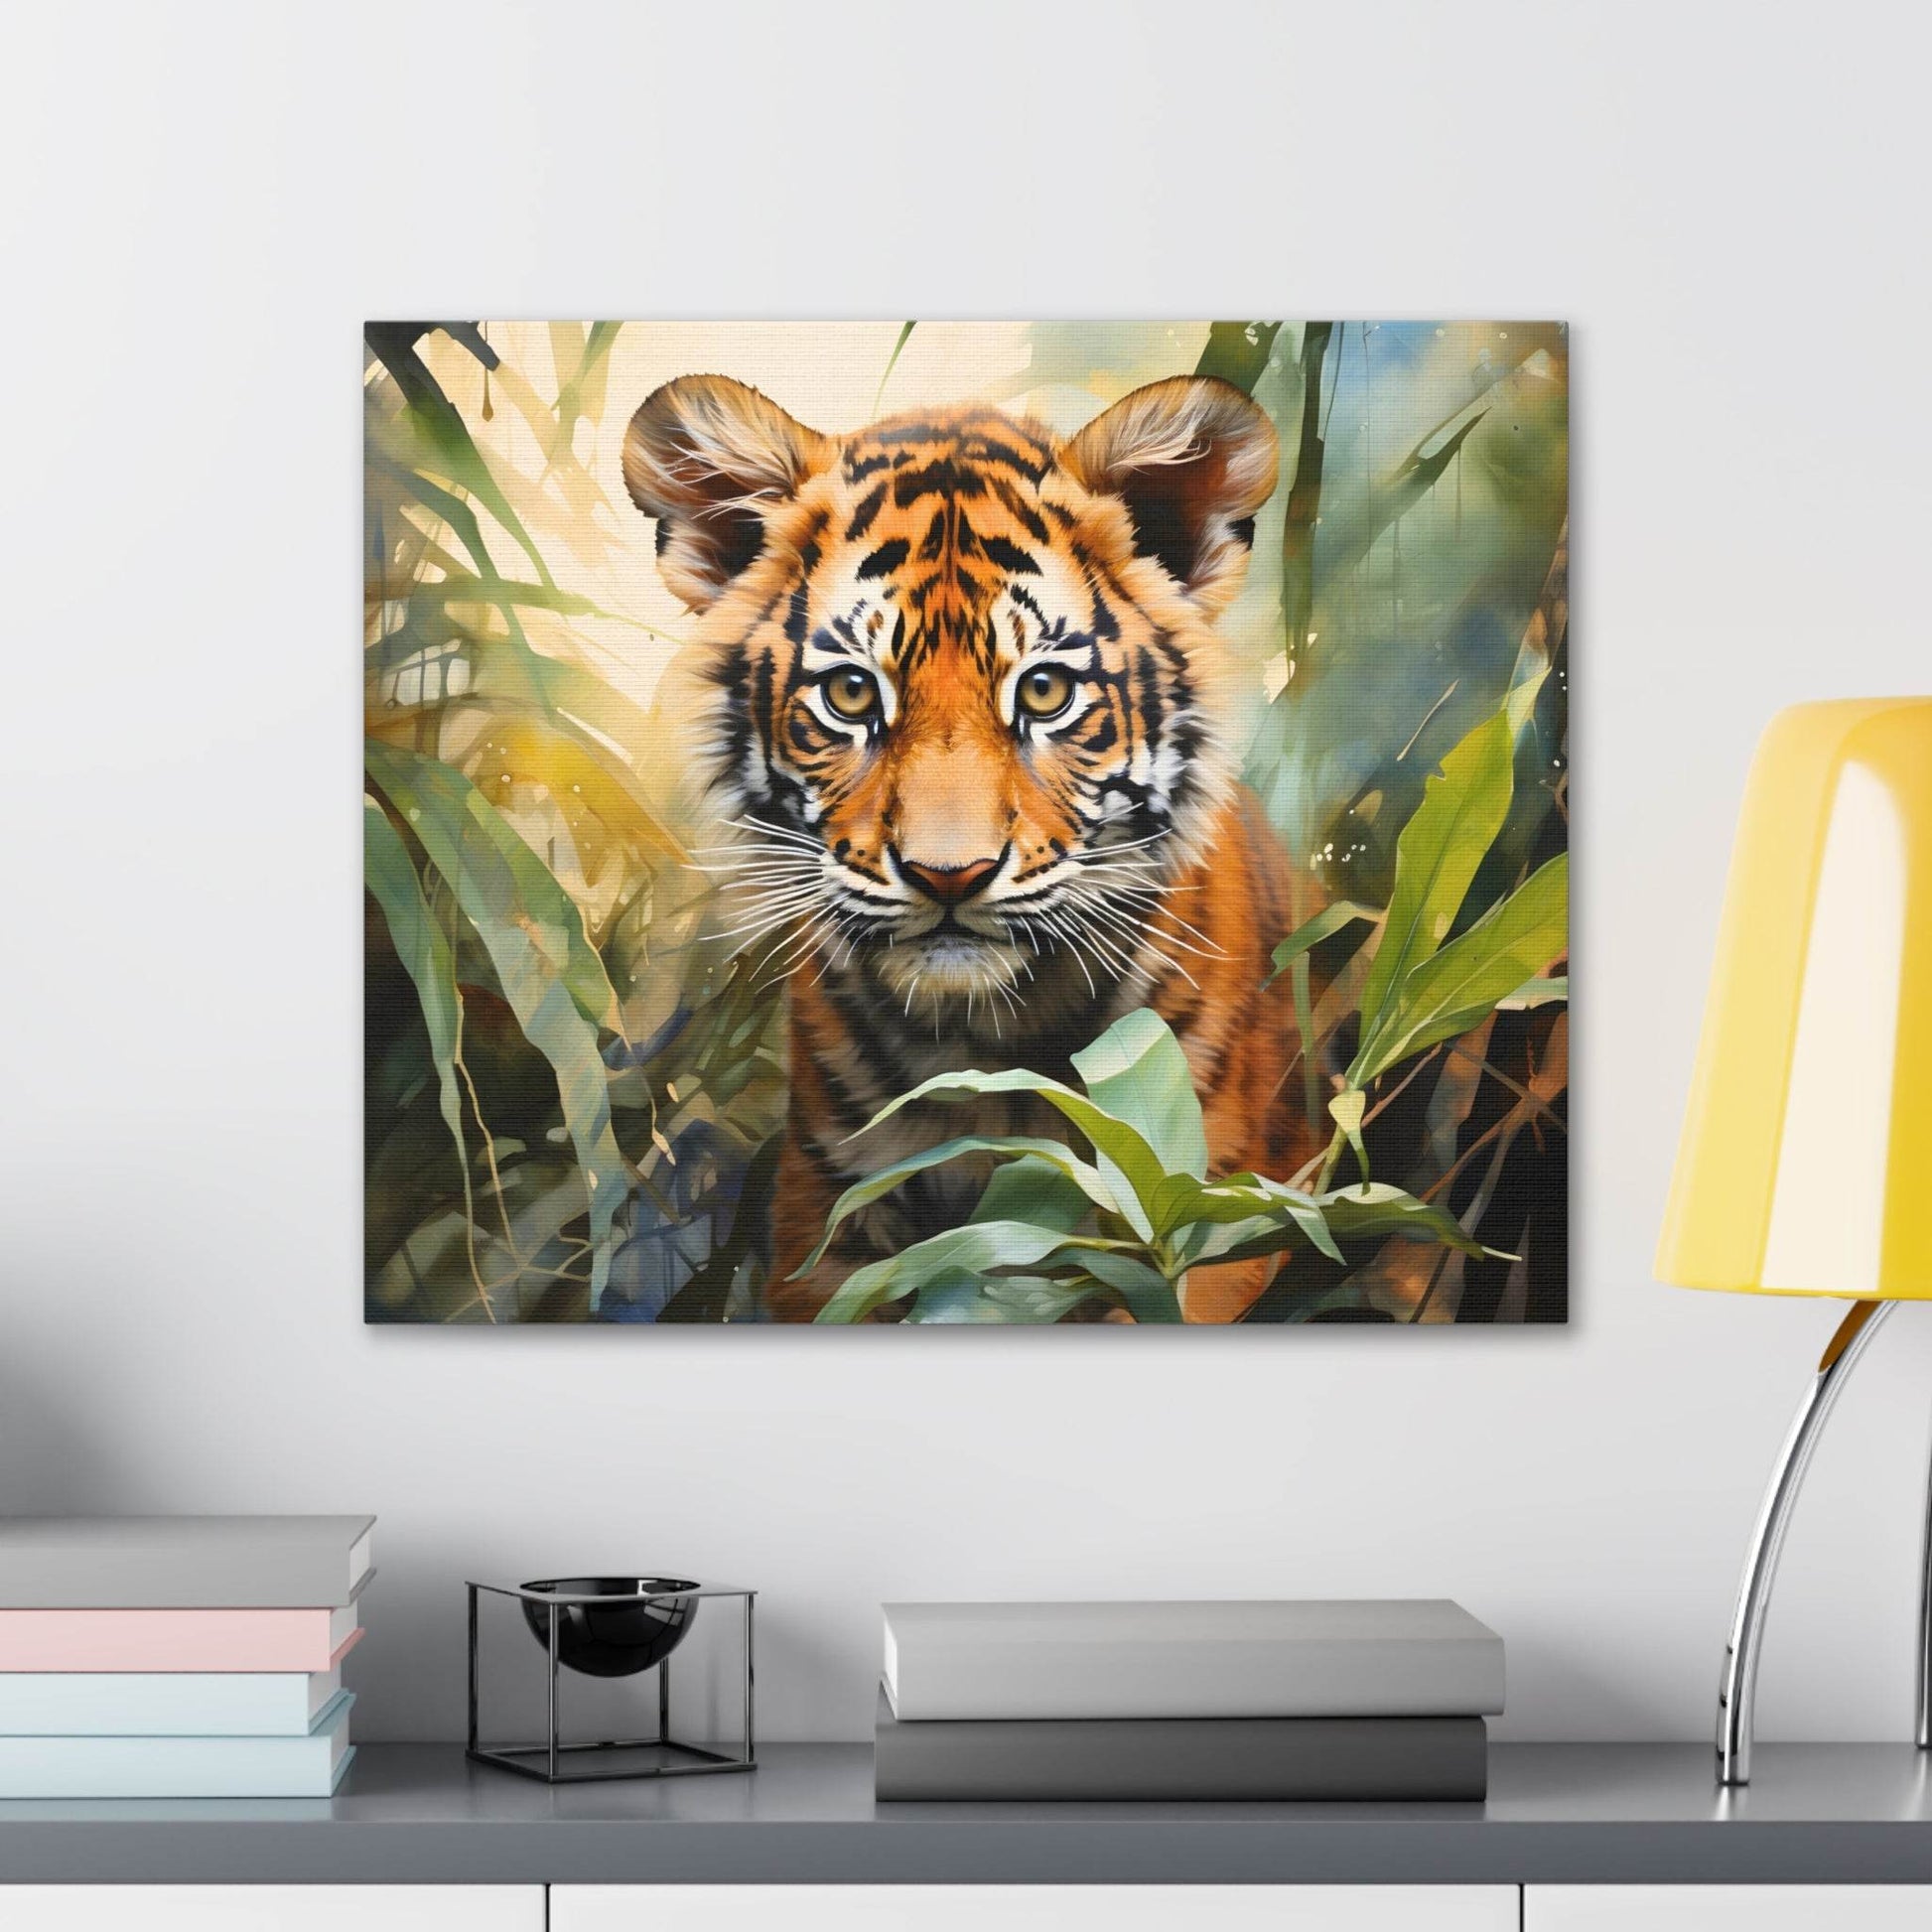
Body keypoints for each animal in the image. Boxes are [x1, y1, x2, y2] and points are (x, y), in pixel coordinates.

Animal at [621, 370, 1324, 1322]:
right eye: (851, 693)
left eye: (1046, 691)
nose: (947, 876)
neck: (987, 1047)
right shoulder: (826, 1225)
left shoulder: (1219, 1217)